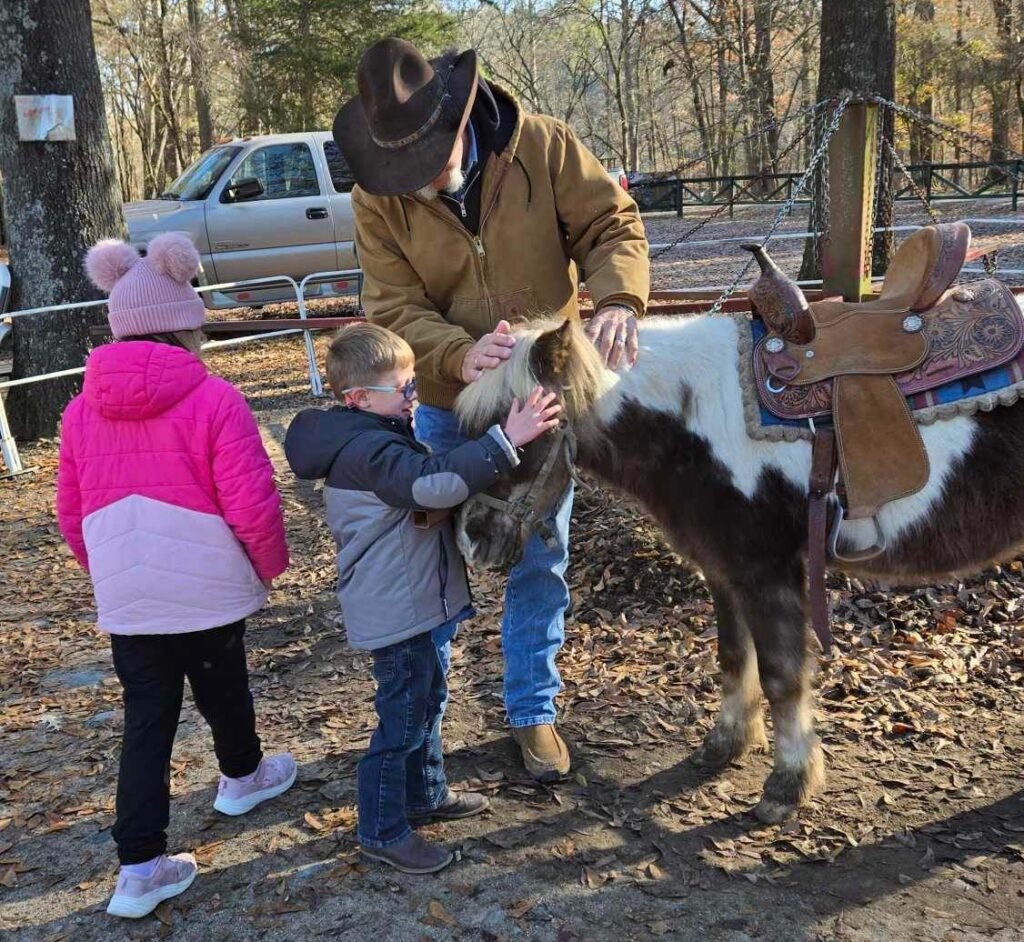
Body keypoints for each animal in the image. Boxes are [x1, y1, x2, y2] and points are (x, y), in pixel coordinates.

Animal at [452, 313, 1024, 819]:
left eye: (525, 431)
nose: (472, 540)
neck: (693, 422)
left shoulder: (765, 572)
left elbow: (781, 677)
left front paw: (788, 785)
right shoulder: (723, 569)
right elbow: (732, 656)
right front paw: (727, 743)